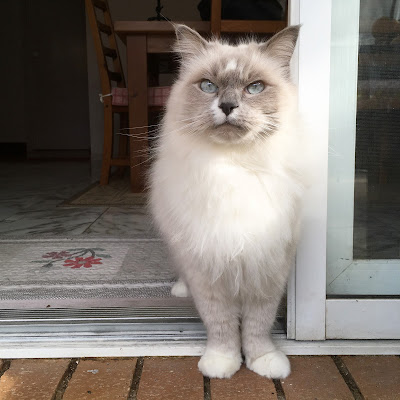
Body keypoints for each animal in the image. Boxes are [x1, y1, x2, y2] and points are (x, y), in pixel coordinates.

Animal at [148, 23, 308, 380]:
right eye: (209, 86)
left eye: (255, 87)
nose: (227, 106)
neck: (233, 167)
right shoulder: (206, 268)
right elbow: (220, 326)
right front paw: (222, 364)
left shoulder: (268, 267)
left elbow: (258, 326)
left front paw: (265, 363)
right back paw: (180, 290)